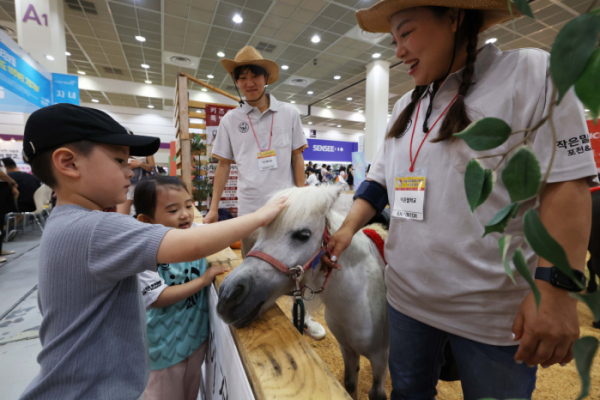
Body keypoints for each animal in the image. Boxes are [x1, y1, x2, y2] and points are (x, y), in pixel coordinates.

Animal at [217, 186, 390, 398]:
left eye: (303, 235)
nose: (227, 296)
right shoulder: (348, 350)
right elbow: (350, 385)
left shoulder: (380, 357)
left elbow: (376, 393)